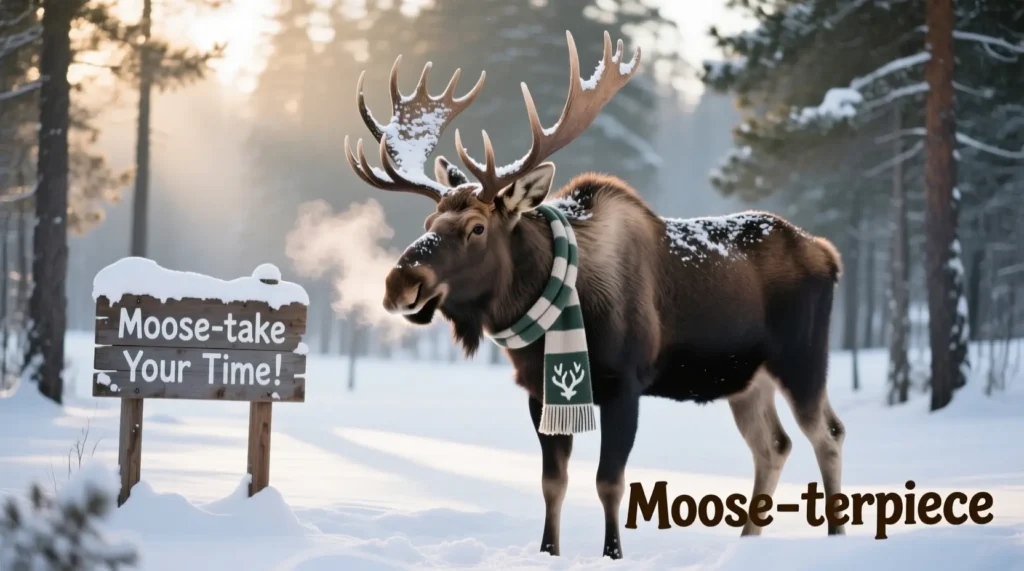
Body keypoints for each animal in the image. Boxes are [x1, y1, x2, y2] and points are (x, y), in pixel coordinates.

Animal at [343, 30, 846, 560]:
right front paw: (548, 551)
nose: (399, 284)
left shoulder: (625, 383)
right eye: (428, 222)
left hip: (802, 359)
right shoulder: (541, 394)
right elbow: (553, 482)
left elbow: (610, 482)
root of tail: (828, 254)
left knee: (828, 434)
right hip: (745, 379)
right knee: (773, 446)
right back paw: (747, 544)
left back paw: (836, 538)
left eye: (476, 227)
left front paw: (612, 554)